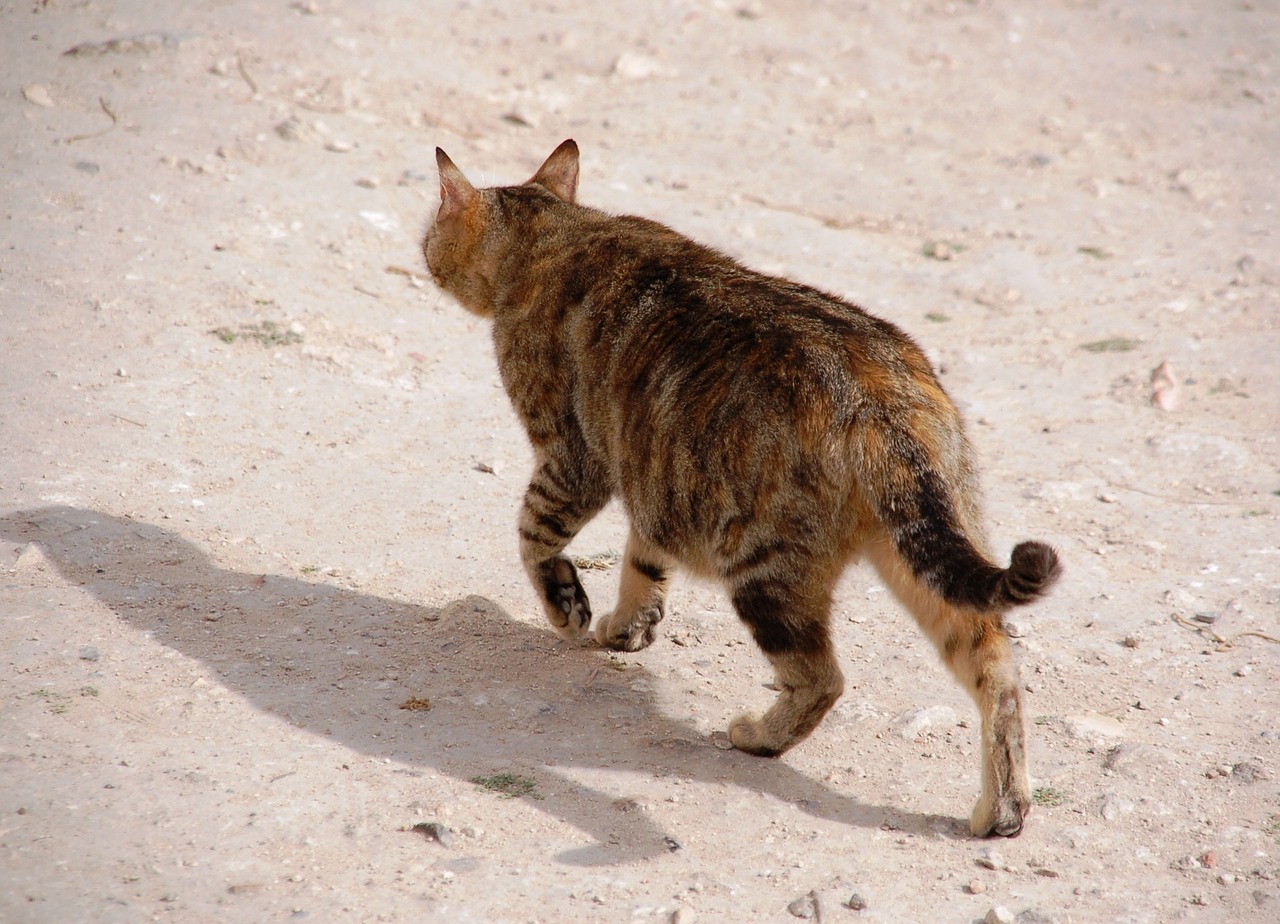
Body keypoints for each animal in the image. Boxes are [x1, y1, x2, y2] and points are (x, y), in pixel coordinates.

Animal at [419, 136, 1059, 834]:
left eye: (430, 230)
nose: (421, 251)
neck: (557, 233)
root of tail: (878, 399)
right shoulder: (657, 476)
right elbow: (643, 561)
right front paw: (628, 625)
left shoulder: (573, 458)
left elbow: (535, 537)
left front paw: (569, 608)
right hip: (928, 554)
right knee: (998, 669)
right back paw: (1002, 808)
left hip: (763, 566)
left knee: (822, 677)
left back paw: (758, 736)